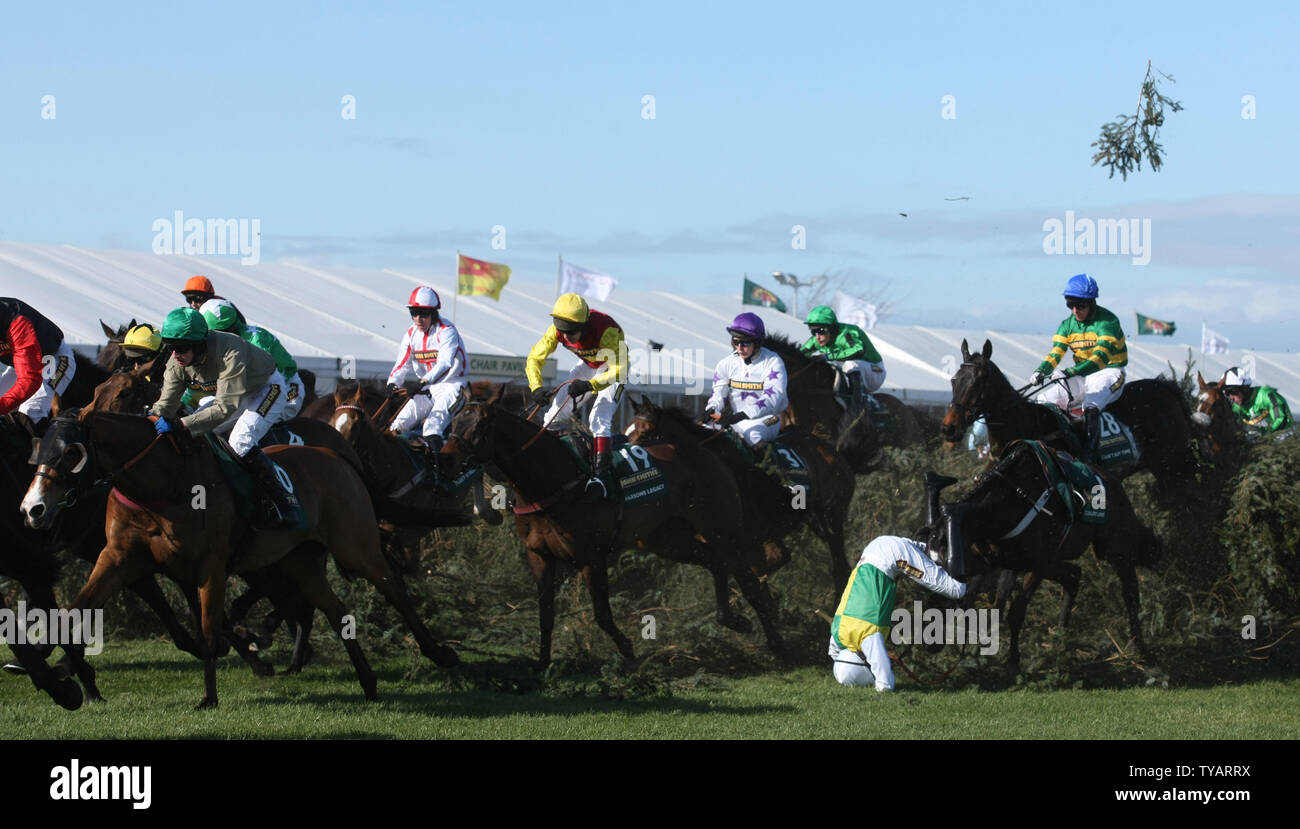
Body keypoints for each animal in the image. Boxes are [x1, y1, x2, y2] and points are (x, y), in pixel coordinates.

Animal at [21, 413, 462, 712]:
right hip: (301, 562)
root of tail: (336, 455)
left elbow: (207, 630)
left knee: (395, 590)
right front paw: (59, 681)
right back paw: (368, 683)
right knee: (336, 612)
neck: (162, 486)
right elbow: (72, 613)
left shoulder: (210, 566)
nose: (32, 509)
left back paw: (442, 655)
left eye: (71, 453)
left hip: (356, 545)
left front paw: (209, 697)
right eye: (38, 451)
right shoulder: (119, 559)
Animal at [447, 397, 790, 670]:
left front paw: (627, 649)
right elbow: (545, 613)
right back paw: (733, 620)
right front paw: (542, 664)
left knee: (750, 583)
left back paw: (779, 646)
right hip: (669, 539)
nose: (445, 456)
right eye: (454, 419)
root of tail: (705, 453)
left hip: (723, 530)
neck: (553, 478)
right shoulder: (539, 555)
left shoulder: (592, 556)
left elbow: (601, 614)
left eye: (479, 426)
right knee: (716, 563)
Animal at [626, 395, 857, 584]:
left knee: (840, 566)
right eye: (626, 434)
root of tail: (827, 448)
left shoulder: (749, 541)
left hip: (833, 513)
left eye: (645, 434)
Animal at [930, 441, 1164, 670]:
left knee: (1129, 591)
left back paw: (1138, 648)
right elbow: (985, 601)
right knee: (1073, 575)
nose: (932, 639)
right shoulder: (1001, 560)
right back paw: (1060, 641)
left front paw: (1013, 660)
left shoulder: (1037, 564)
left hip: (1114, 550)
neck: (1010, 499)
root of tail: (1114, 480)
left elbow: (1015, 612)